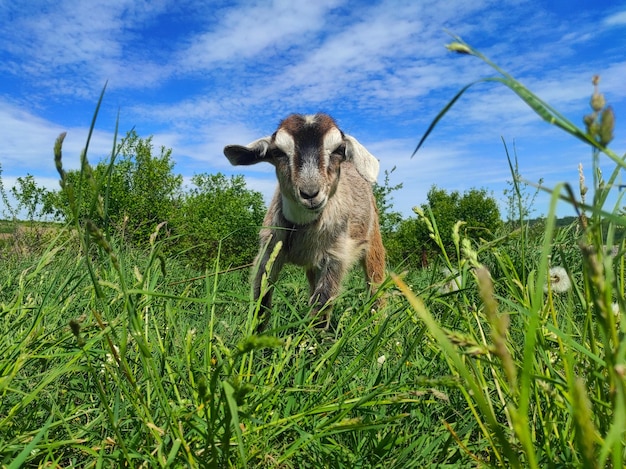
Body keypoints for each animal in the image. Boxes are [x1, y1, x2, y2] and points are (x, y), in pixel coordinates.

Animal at [222, 112, 382, 330]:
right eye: (278, 152)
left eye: (339, 149)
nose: (310, 193)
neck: (301, 226)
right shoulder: (269, 251)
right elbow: (261, 300)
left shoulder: (336, 255)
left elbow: (322, 303)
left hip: (373, 239)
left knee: (376, 283)